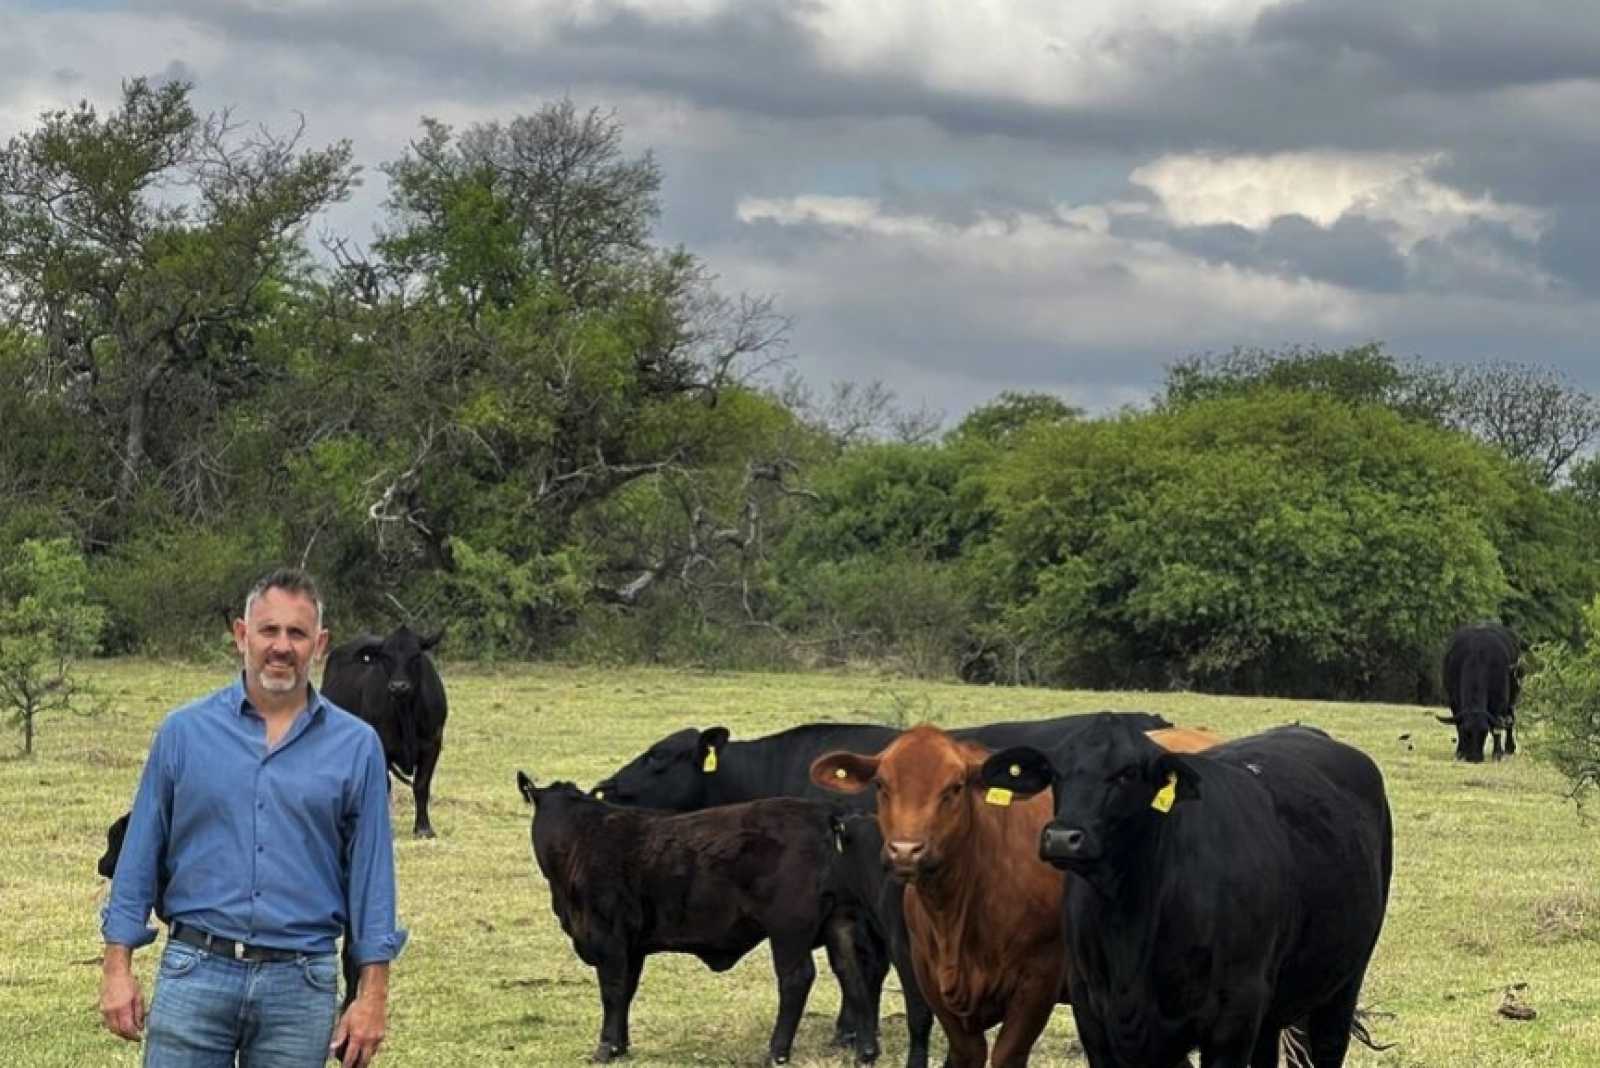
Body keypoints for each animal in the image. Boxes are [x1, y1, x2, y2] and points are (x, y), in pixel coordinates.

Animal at [318, 620, 448, 837]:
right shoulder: (382, 746)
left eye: (416, 655)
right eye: (386, 657)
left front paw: (423, 828)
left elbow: (421, 785)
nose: (399, 686)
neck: (406, 714)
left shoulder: (432, 744)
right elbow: (383, 786)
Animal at [518, 770, 876, 1061]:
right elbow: (626, 992)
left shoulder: (609, 938)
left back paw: (776, 1052)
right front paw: (621, 1046)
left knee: (796, 980)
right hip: (840, 922)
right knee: (853, 974)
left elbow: (613, 991)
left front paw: (606, 1048)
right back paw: (865, 1050)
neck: (580, 839)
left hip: (789, 930)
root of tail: (825, 813)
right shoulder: (632, 946)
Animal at [972, 713, 1388, 1068]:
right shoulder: (1091, 1012)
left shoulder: (1233, 1015)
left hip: (1342, 985)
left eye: (1127, 773)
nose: (1062, 837)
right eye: (1055, 772)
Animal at [1440, 620, 1523, 764]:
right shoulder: (1454, 701)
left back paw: (1509, 748)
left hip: (1513, 696)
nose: (1475, 758)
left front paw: (1497, 753)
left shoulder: (1500, 701)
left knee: (1510, 720)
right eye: (1467, 732)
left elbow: (1497, 728)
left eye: (1484, 731)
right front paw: (1460, 752)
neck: (1477, 655)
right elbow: (1458, 726)